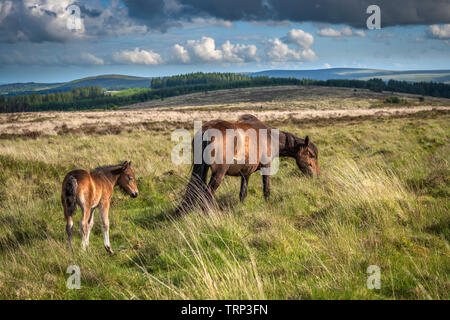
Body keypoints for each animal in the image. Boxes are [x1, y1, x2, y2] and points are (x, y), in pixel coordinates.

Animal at [178, 115, 318, 212]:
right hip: (218, 174)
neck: (270, 137)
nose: (316, 175)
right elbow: (266, 189)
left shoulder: (246, 174)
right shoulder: (266, 167)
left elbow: (243, 193)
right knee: (207, 194)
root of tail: (206, 131)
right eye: (311, 155)